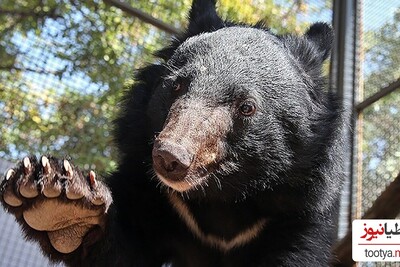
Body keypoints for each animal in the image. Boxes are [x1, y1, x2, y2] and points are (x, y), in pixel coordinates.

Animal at [0, 1, 344, 266]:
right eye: (177, 85)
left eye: (246, 107)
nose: (170, 158)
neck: (222, 197)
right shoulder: (156, 198)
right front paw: (58, 200)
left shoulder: (298, 214)